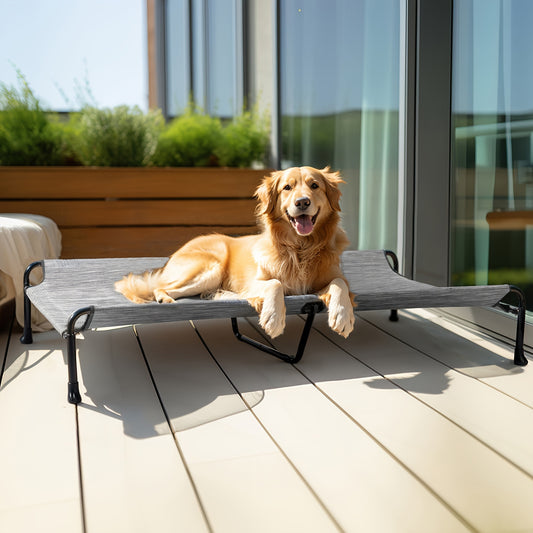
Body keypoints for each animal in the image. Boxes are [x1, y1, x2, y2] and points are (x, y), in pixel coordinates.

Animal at [113, 165, 354, 336]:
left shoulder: (333, 277)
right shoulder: (254, 282)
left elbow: (339, 283)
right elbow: (275, 283)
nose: (302, 202)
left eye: (314, 186)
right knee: (161, 287)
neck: (301, 247)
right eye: (287, 187)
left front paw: (343, 316)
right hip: (210, 267)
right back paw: (165, 298)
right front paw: (274, 318)